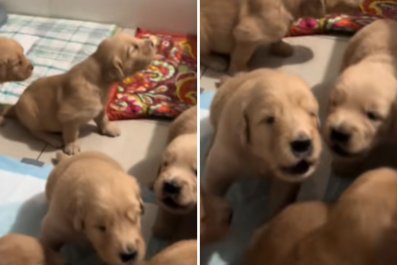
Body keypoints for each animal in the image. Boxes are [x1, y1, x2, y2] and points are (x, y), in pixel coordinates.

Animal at [0, 33, 157, 154]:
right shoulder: (69, 116)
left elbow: (103, 118)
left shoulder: (101, 107)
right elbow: (71, 133)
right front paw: (72, 146)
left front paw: (108, 128)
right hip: (31, 113)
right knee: (35, 131)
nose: (152, 42)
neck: (99, 81)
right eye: (134, 49)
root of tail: (16, 106)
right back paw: (53, 139)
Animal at [200, 0, 360, 72]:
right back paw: (216, 62)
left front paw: (282, 48)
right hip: (204, 34)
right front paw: (240, 72)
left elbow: (278, 38)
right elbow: (240, 57)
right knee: (202, 53)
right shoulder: (246, 33)